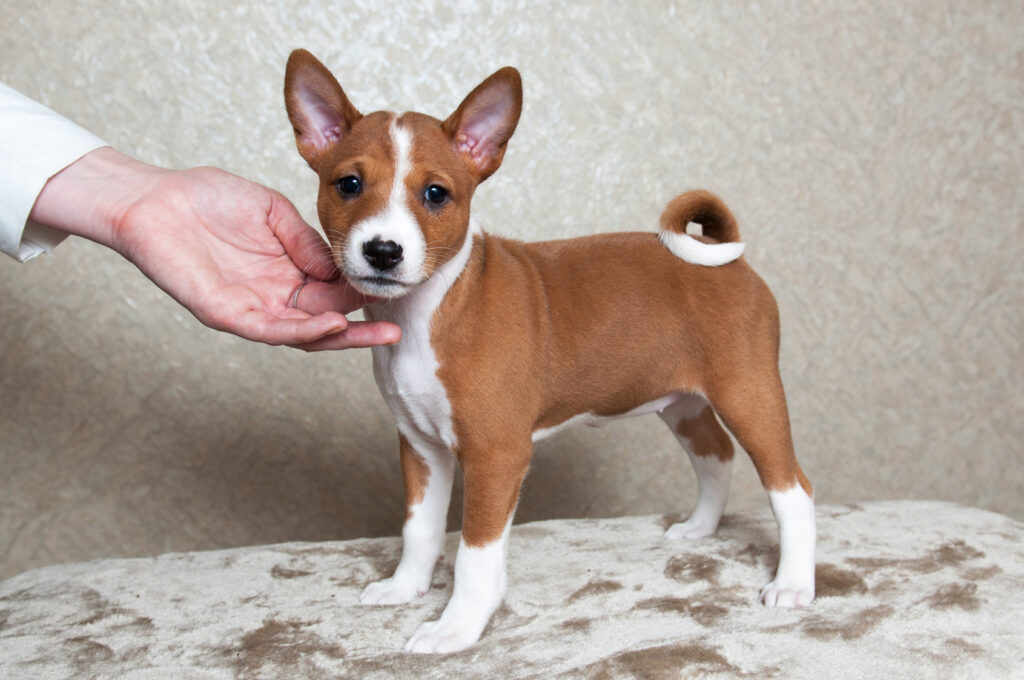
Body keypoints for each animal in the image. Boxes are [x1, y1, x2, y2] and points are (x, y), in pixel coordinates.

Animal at [282, 47, 815, 655]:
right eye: (348, 184)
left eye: (435, 194)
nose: (383, 250)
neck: (425, 314)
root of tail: (723, 255)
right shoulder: (421, 447)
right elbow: (418, 529)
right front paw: (405, 586)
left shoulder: (496, 455)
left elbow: (474, 556)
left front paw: (458, 626)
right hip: (684, 402)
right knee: (716, 457)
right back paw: (701, 528)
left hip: (749, 395)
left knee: (793, 490)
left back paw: (794, 584)